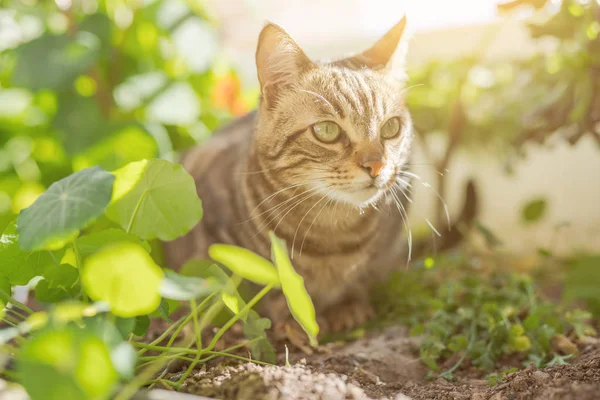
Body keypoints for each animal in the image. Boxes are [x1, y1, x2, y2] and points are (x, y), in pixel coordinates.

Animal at [166, 17, 414, 332]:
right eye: (327, 131)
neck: (331, 234)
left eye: (391, 127)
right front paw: (289, 319)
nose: (376, 165)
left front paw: (348, 304)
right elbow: (264, 284)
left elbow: (363, 276)